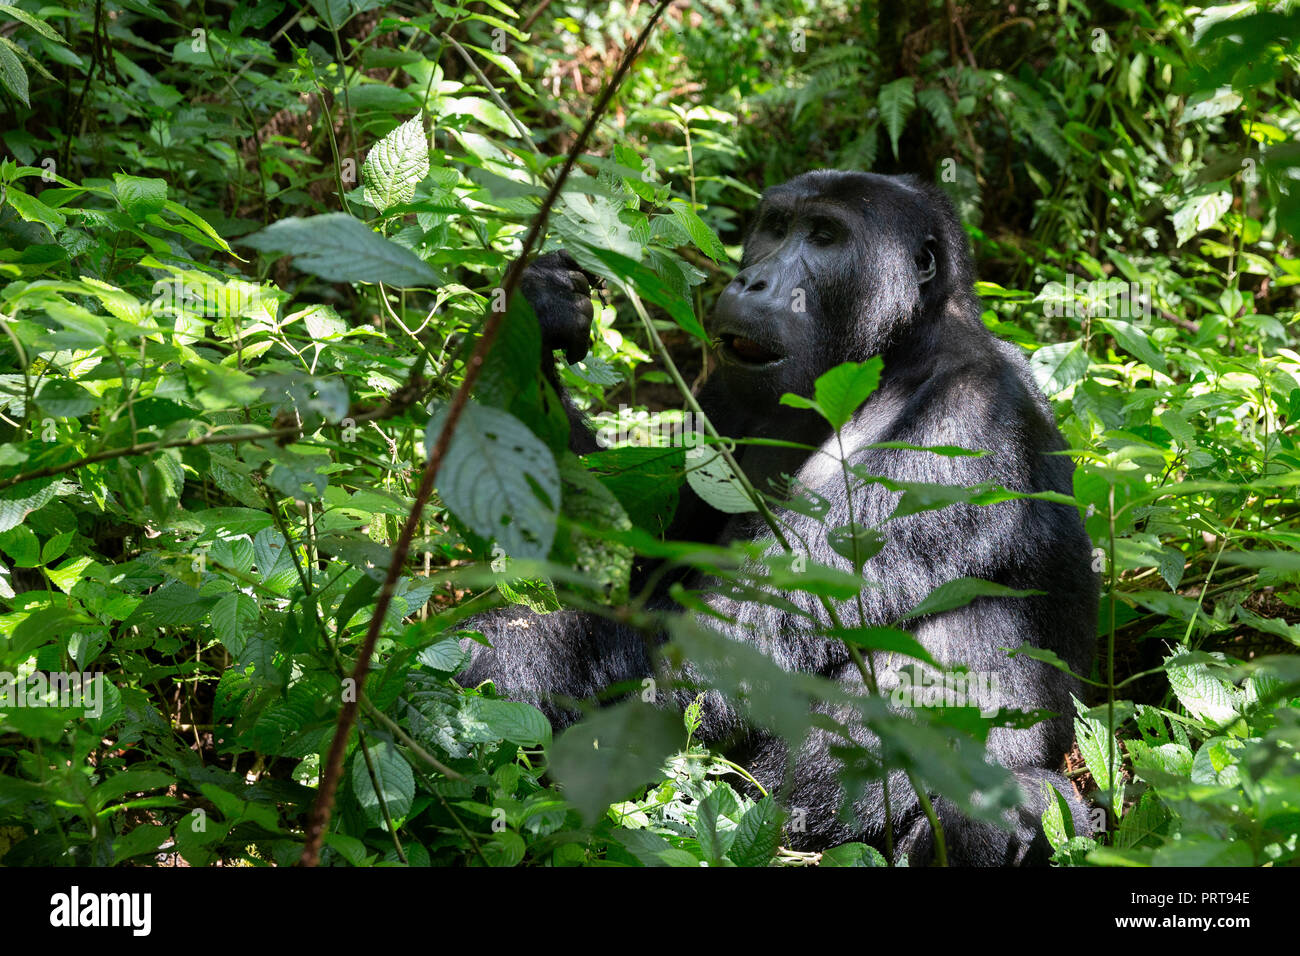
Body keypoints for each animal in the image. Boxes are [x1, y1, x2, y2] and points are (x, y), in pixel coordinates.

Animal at [457, 171, 1097, 868]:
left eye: (824, 236)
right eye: (775, 227)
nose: (752, 282)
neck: (898, 349)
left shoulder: (967, 419)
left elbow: (728, 634)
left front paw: (500, 657)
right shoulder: (726, 393)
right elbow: (632, 555)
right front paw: (535, 309)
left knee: (1006, 793)